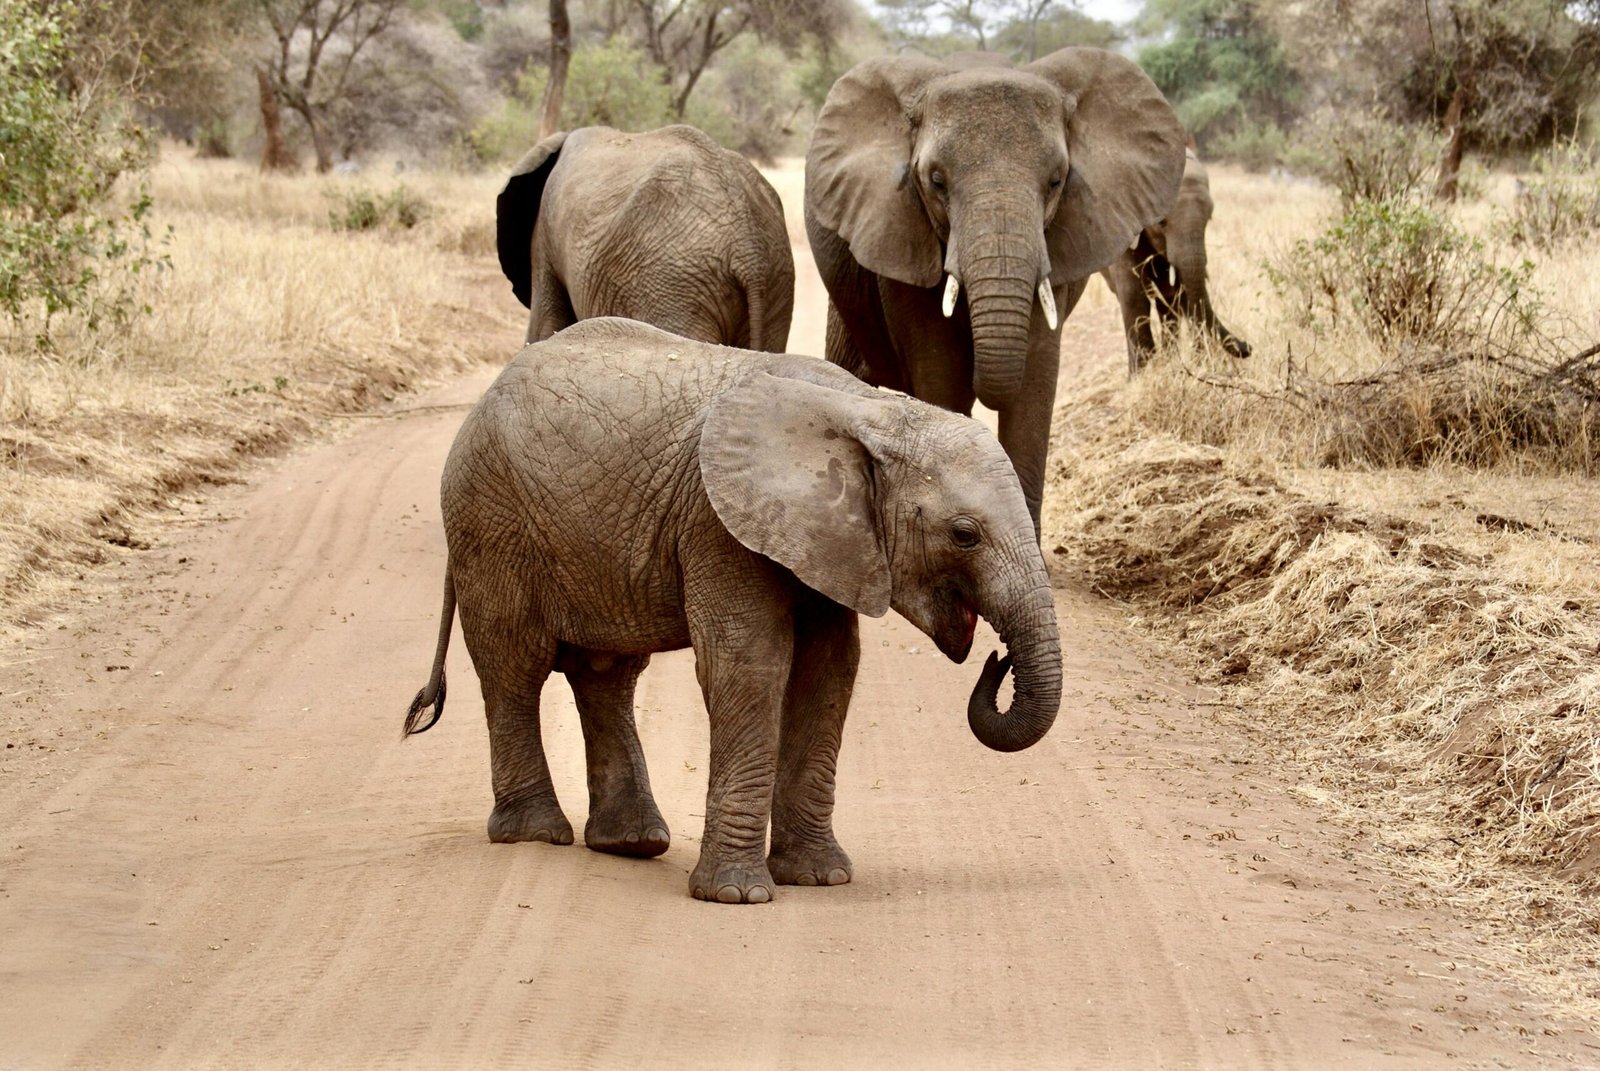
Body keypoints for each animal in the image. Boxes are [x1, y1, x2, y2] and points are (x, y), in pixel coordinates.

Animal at [1100, 146, 1248, 371]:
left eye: (1209, 218)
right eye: (1161, 222)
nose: (1248, 347)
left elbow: (1182, 290)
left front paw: (1199, 365)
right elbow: (1132, 293)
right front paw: (1141, 375)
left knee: (1168, 299)